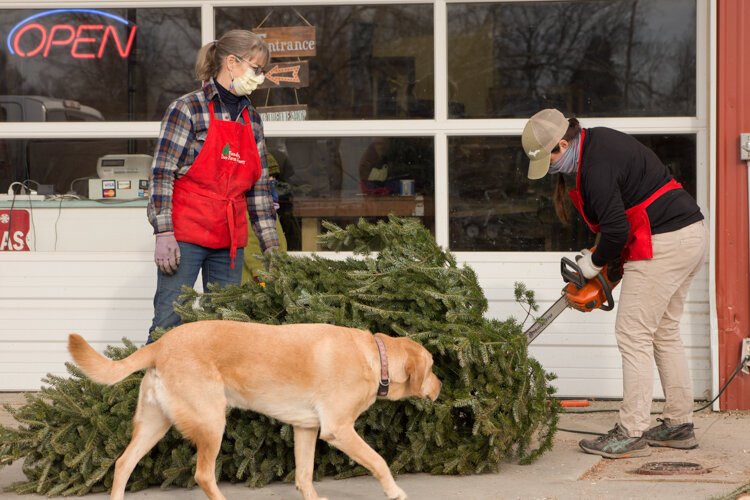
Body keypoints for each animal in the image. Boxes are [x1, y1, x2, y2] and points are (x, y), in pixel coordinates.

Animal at [66, 320, 440, 500]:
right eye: (434, 367)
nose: (439, 388)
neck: (377, 358)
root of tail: (161, 343)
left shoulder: (306, 429)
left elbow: (304, 476)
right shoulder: (338, 430)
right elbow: (379, 461)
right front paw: (394, 491)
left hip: (154, 425)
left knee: (123, 464)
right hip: (211, 422)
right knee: (203, 475)